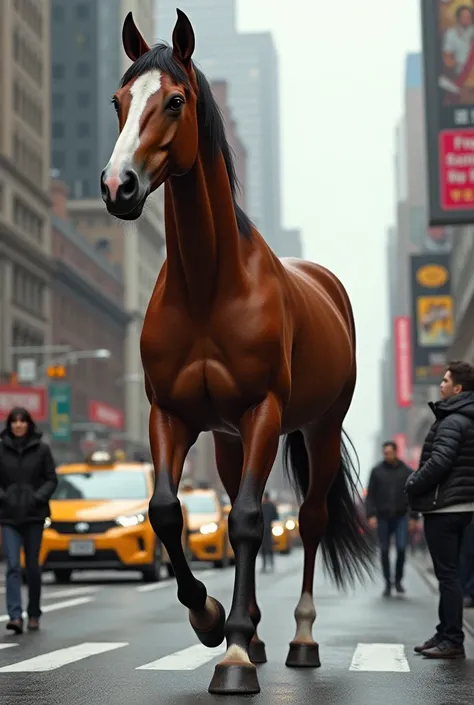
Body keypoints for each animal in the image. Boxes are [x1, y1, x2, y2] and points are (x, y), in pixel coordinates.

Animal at [100, 9, 374, 692]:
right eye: (118, 101)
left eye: (175, 100)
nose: (118, 186)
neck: (207, 285)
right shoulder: (171, 414)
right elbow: (168, 512)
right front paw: (211, 620)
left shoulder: (263, 412)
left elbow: (251, 519)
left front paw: (233, 654)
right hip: (226, 440)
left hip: (317, 427)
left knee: (307, 519)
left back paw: (300, 638)